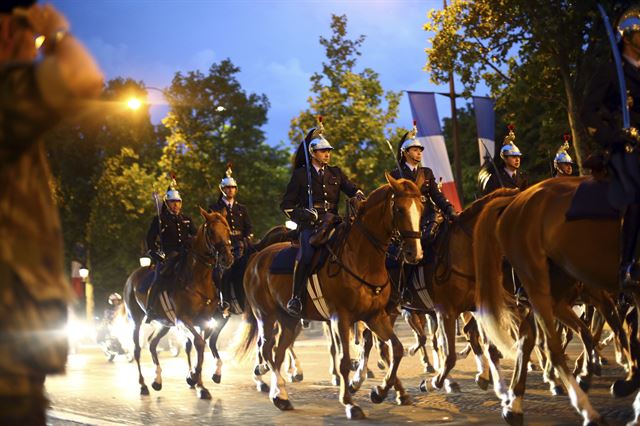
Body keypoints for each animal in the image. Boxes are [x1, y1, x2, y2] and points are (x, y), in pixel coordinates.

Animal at [124, 209, 234, 400]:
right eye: (211, 232)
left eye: (227, 229)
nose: (227, 258)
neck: (198, 279)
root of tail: (133, 275)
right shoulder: (183, 320)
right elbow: (198, 343)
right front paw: (194, 378)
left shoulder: (205, 321)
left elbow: (200, 348)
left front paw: (200, 384)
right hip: (136, 321)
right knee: (137, 349)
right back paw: (143, 385)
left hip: (164, 324)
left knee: (152, 344)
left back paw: (157, 381)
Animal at [235, 174, 424, 420]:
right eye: (399, 209)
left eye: (422, 206)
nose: (415, 253)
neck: (363, 259)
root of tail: (257, 257)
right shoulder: (340, 318)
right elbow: (345, 360)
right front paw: (350, 402)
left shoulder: (375, 316)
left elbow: (396, 349)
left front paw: (380, 391)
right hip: (266, 317)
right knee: (266, 350)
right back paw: (278, 390)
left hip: (289, 320)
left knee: (277, 353)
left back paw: (281, 396)